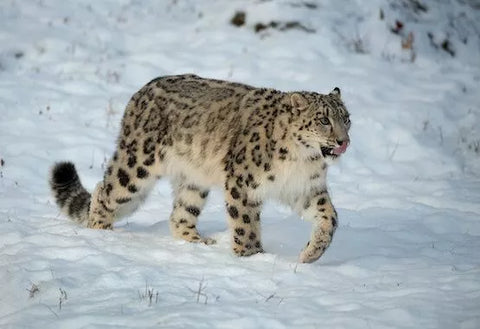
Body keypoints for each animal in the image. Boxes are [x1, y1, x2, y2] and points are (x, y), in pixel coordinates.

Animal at [50, 73, 350, 262]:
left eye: (346, 118)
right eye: (323, 120)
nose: (343, 141)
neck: (302, 160)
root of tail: (141, 91)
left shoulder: (307, 189)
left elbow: (330, 217)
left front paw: (311, 253)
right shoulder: (243, 184)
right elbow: (245, 225)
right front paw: (252, 257)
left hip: (194, 181)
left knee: (180, 213)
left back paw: (197, 241)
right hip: (137, 166)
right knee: (105, 190)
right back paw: (102, 233)